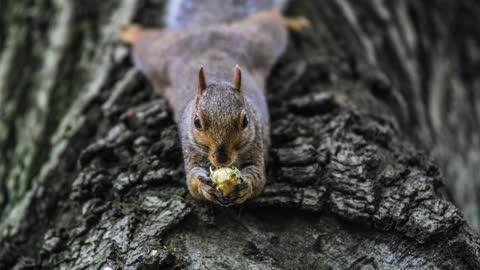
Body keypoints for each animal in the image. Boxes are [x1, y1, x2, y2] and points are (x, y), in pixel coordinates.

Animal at [118, 1, 310, 206]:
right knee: (146, 41)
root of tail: (207, 28)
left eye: (245, 121)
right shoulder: (190, 146)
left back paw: (292, 21)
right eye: (196, 122)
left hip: (259, 40)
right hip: (160, 55)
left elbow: (258, 178)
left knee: (271, 19)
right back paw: (132, 32)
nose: (221, 159)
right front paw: (202, 185)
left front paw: (246, 186)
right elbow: (192, 181)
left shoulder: (256, 140)